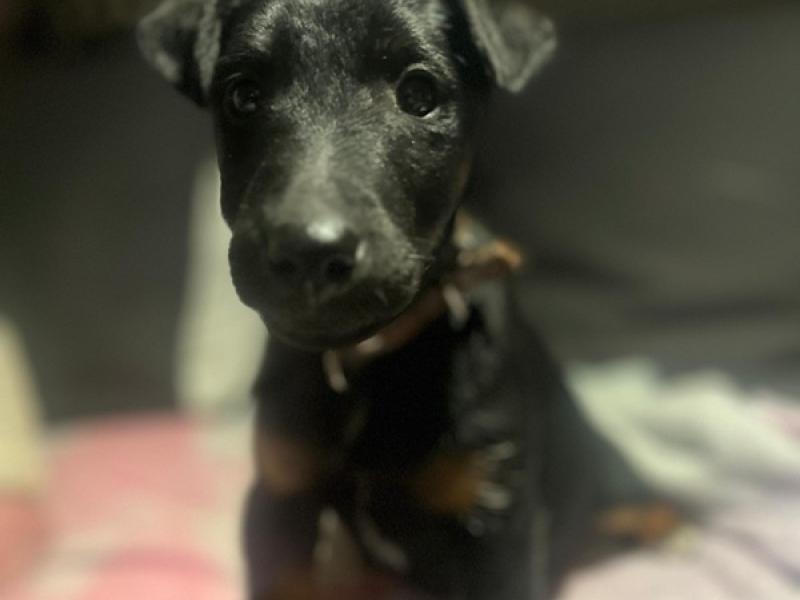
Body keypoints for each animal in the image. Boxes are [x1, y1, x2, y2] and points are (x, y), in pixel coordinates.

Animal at [138, 1, 647, 598]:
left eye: (419, 94)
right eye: (243, 95)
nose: (308, 251)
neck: (367, 359)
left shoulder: (494, 518)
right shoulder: (280, 500)